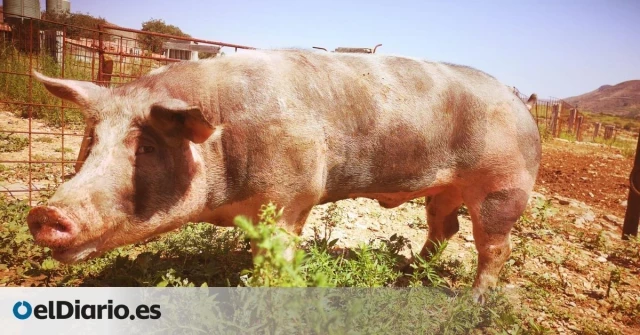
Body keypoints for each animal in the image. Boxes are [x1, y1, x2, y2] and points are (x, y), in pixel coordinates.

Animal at [28, 49, 540, 302]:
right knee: (444, 227)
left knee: (495, 246)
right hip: (446, 188)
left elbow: (275, 257)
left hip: (503, 185)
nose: (44, 213)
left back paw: (473, 302)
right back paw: (410, 272)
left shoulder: (294, 194)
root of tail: (521, 103)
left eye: (147, 148)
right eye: (91, 141)